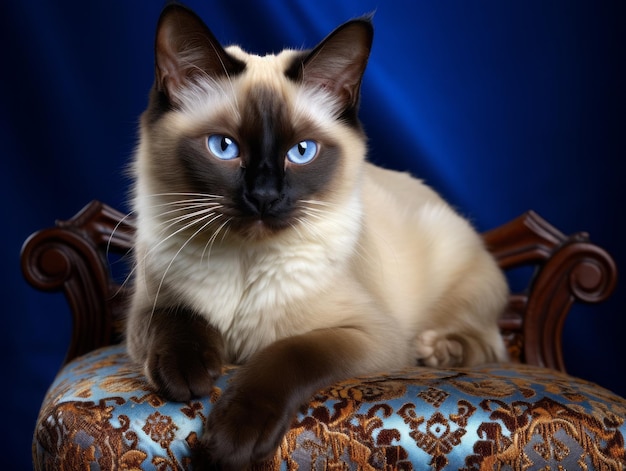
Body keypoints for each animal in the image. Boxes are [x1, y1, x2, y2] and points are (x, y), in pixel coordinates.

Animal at [125, 2, 508, 468]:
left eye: (301, 152)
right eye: (224, 147)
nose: (264, 197)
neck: (245, 260)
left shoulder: (367, 336)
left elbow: (288, 354)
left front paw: (233, 440)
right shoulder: (148, 305)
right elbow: (175, 319)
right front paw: (188, 374)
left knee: (490, 346)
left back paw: (437, 351)